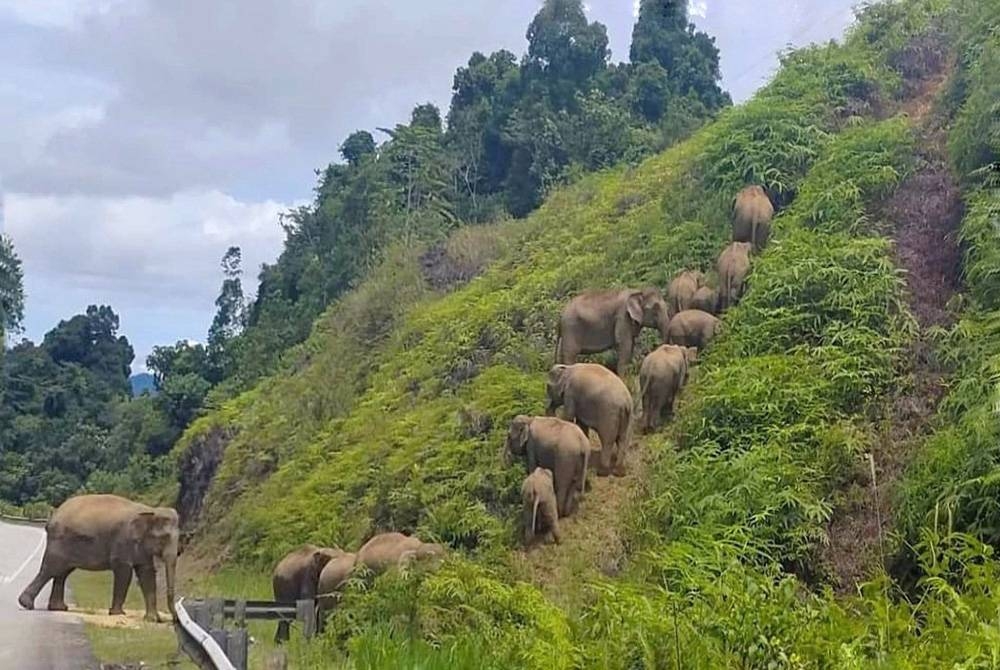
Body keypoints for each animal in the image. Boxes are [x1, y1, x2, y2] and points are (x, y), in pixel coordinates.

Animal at [18, 494, 181, 624]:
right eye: (164, 538)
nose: (173, 620)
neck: (151, 510)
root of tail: (52, 516)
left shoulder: (141, 546)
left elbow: (147, 573)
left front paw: (152, 619)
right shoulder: (123, 540)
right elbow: (124, 572)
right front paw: (118, 613)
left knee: (62, 573)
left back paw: (59, 608)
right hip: (59, 542)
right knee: (50, 569)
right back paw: (26, 604)